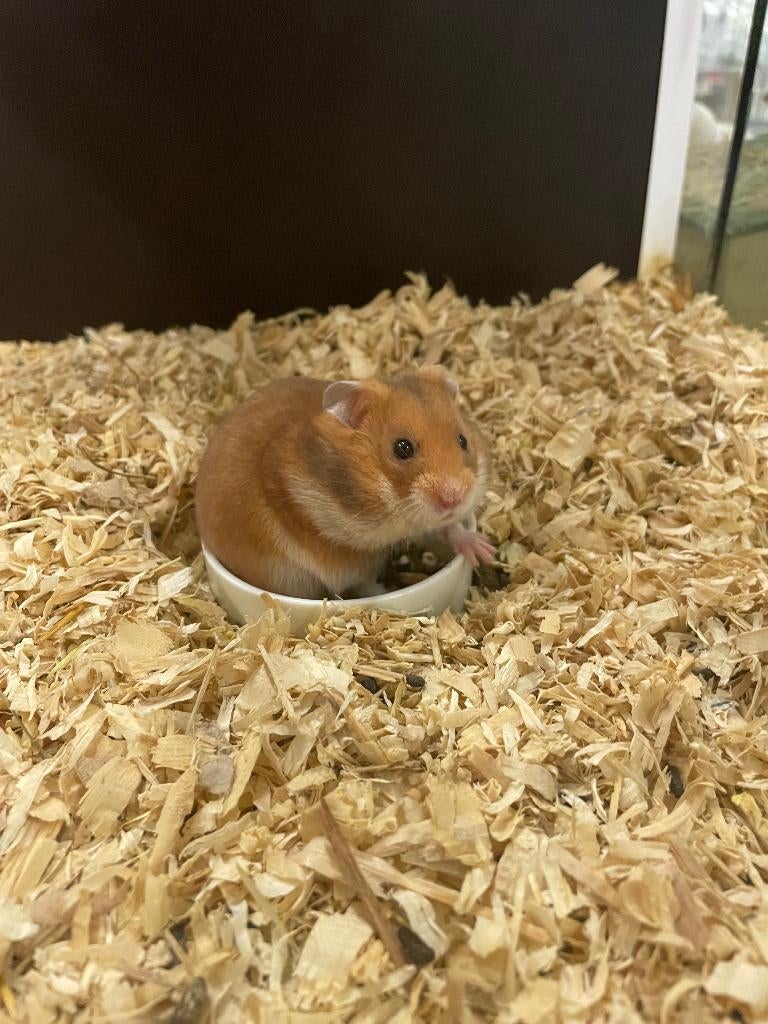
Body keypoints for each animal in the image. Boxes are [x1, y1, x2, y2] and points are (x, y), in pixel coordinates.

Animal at [195, 365, 495, 600]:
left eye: (463, 440)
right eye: (402, 448)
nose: (454, 498)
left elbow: (447, 527)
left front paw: (483, 550)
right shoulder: (344, 559)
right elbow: (363, 583)